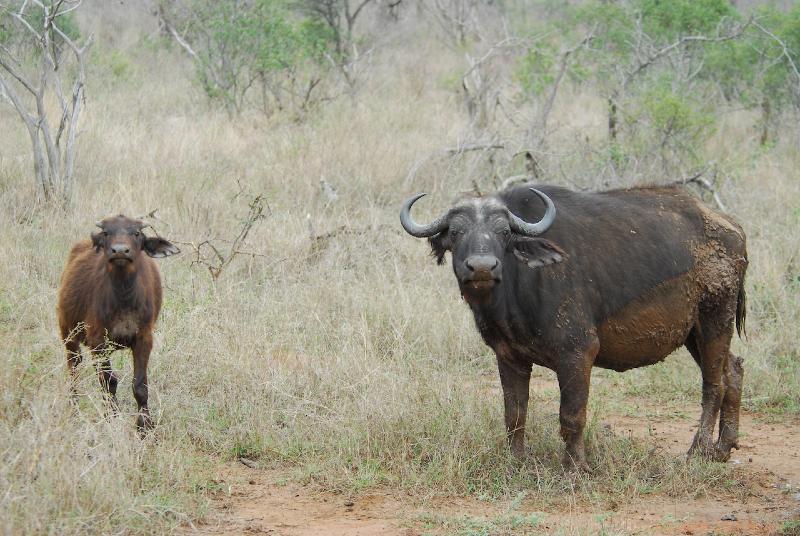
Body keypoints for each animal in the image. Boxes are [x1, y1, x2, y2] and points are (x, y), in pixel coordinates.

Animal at [57, 216, 179, 430]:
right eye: (106, 233)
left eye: (136, 233)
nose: (120, 251)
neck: (124, 298)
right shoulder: (98, 341)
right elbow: (108, 382)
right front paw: (111, 417)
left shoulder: (144, 339)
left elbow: (140, 385)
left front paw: (145, 426)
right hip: (68, 333)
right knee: (74, 367)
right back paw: (74, 405)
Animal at [404, 185, 748, 468]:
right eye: (456, 232)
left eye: (503, 233)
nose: (482, 267)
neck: (518, 285)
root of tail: (732, 227)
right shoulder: (509, 357)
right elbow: (514, 414)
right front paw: (515, 461)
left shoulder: (577, 353)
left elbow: (571, 415)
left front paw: (575, 468)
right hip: (694, 333)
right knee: (733, 369)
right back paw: (723, 448)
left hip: (714, 321)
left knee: (713, 384)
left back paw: (699, 450)